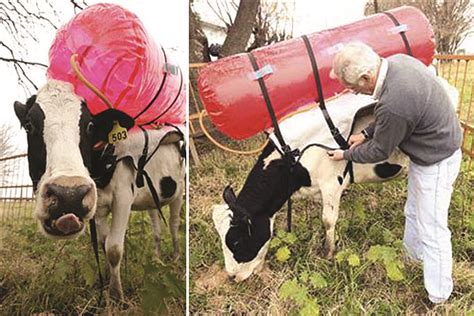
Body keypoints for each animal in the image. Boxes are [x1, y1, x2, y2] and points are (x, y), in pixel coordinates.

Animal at [13, 80, 184, 300]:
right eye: (28, 125)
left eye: (90, 126)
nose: (69, 195)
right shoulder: (99, 207)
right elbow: (103, 244)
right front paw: (108, 282)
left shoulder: (123, 197)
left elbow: (113, 248)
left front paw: (116, 296)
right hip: (152, 198)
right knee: (156, 228)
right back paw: (157, 259)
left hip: (179, 192)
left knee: (173, 224)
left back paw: (177, 257)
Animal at [213, 103, 410, 282]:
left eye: (236, 241)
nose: (232, 276)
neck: (291, 159)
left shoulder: (332, 183)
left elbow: (328, 220)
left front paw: (328, 252)